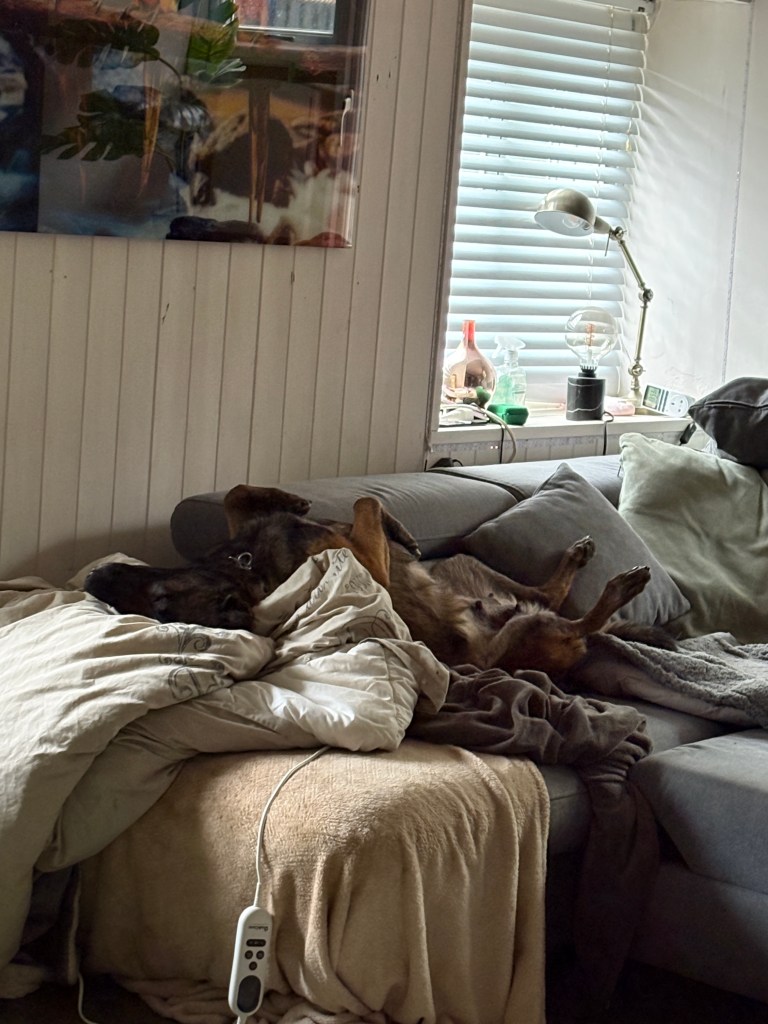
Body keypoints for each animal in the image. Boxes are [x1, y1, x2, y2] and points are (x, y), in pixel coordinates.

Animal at [85, 484, 672, 679]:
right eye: (160, 606)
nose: (93, 575)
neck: (244, 568)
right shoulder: (369, 560)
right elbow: (366, 502)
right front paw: (394, 527)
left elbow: (235, 493)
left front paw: (292, 499)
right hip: (522, 638)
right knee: (580, 624)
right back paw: (621, 588)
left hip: (466, 566)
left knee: (549, 594)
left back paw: (578, 554)